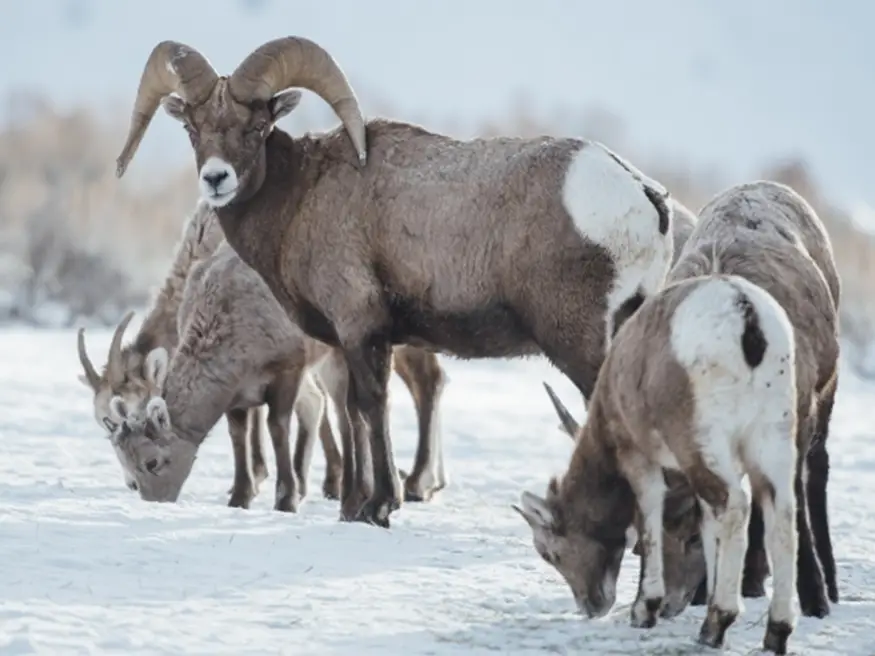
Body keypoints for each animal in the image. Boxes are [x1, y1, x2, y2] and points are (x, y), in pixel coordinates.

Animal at [113, 36, 675, 527]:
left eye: (256, 126)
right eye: (194, 128)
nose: (216, 179)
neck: (301, 198)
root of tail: (644, 195)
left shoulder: (361, 327)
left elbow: (370, 405)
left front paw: (380, 506)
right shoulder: (347, 342)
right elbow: (351, 413)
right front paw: (355, 506)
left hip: (577, 341)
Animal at [516, 272, 800, 654]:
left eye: (550, 554)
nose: (591, 606)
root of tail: (748, 317)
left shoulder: (637, 454)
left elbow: (649, 513)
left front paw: (644, 609)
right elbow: (705, 525)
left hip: (701, 439)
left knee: (734, 506)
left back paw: (716, 624)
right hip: (772, 437)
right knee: (780, 514)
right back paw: (776, 631)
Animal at [668, 180, 841, 618]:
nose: (671, 602)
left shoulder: (797, 410)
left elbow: (790, 497)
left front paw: (812, 597)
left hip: (826, 386)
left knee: (818, 468)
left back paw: (829, 585)